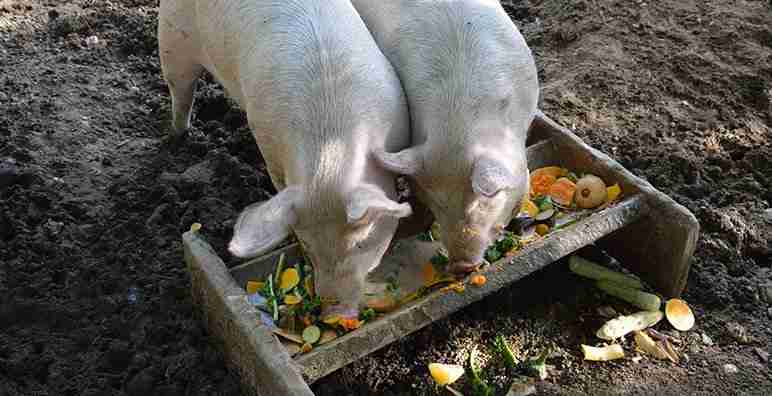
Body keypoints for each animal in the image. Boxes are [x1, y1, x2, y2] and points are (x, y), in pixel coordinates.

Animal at [160, 0, 414, 318]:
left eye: (361, 242)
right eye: (307, 242)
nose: (333, 313)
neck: (331, 150)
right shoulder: (268, 147)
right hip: (172, 38)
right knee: (180, 91)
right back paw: (179, 136)